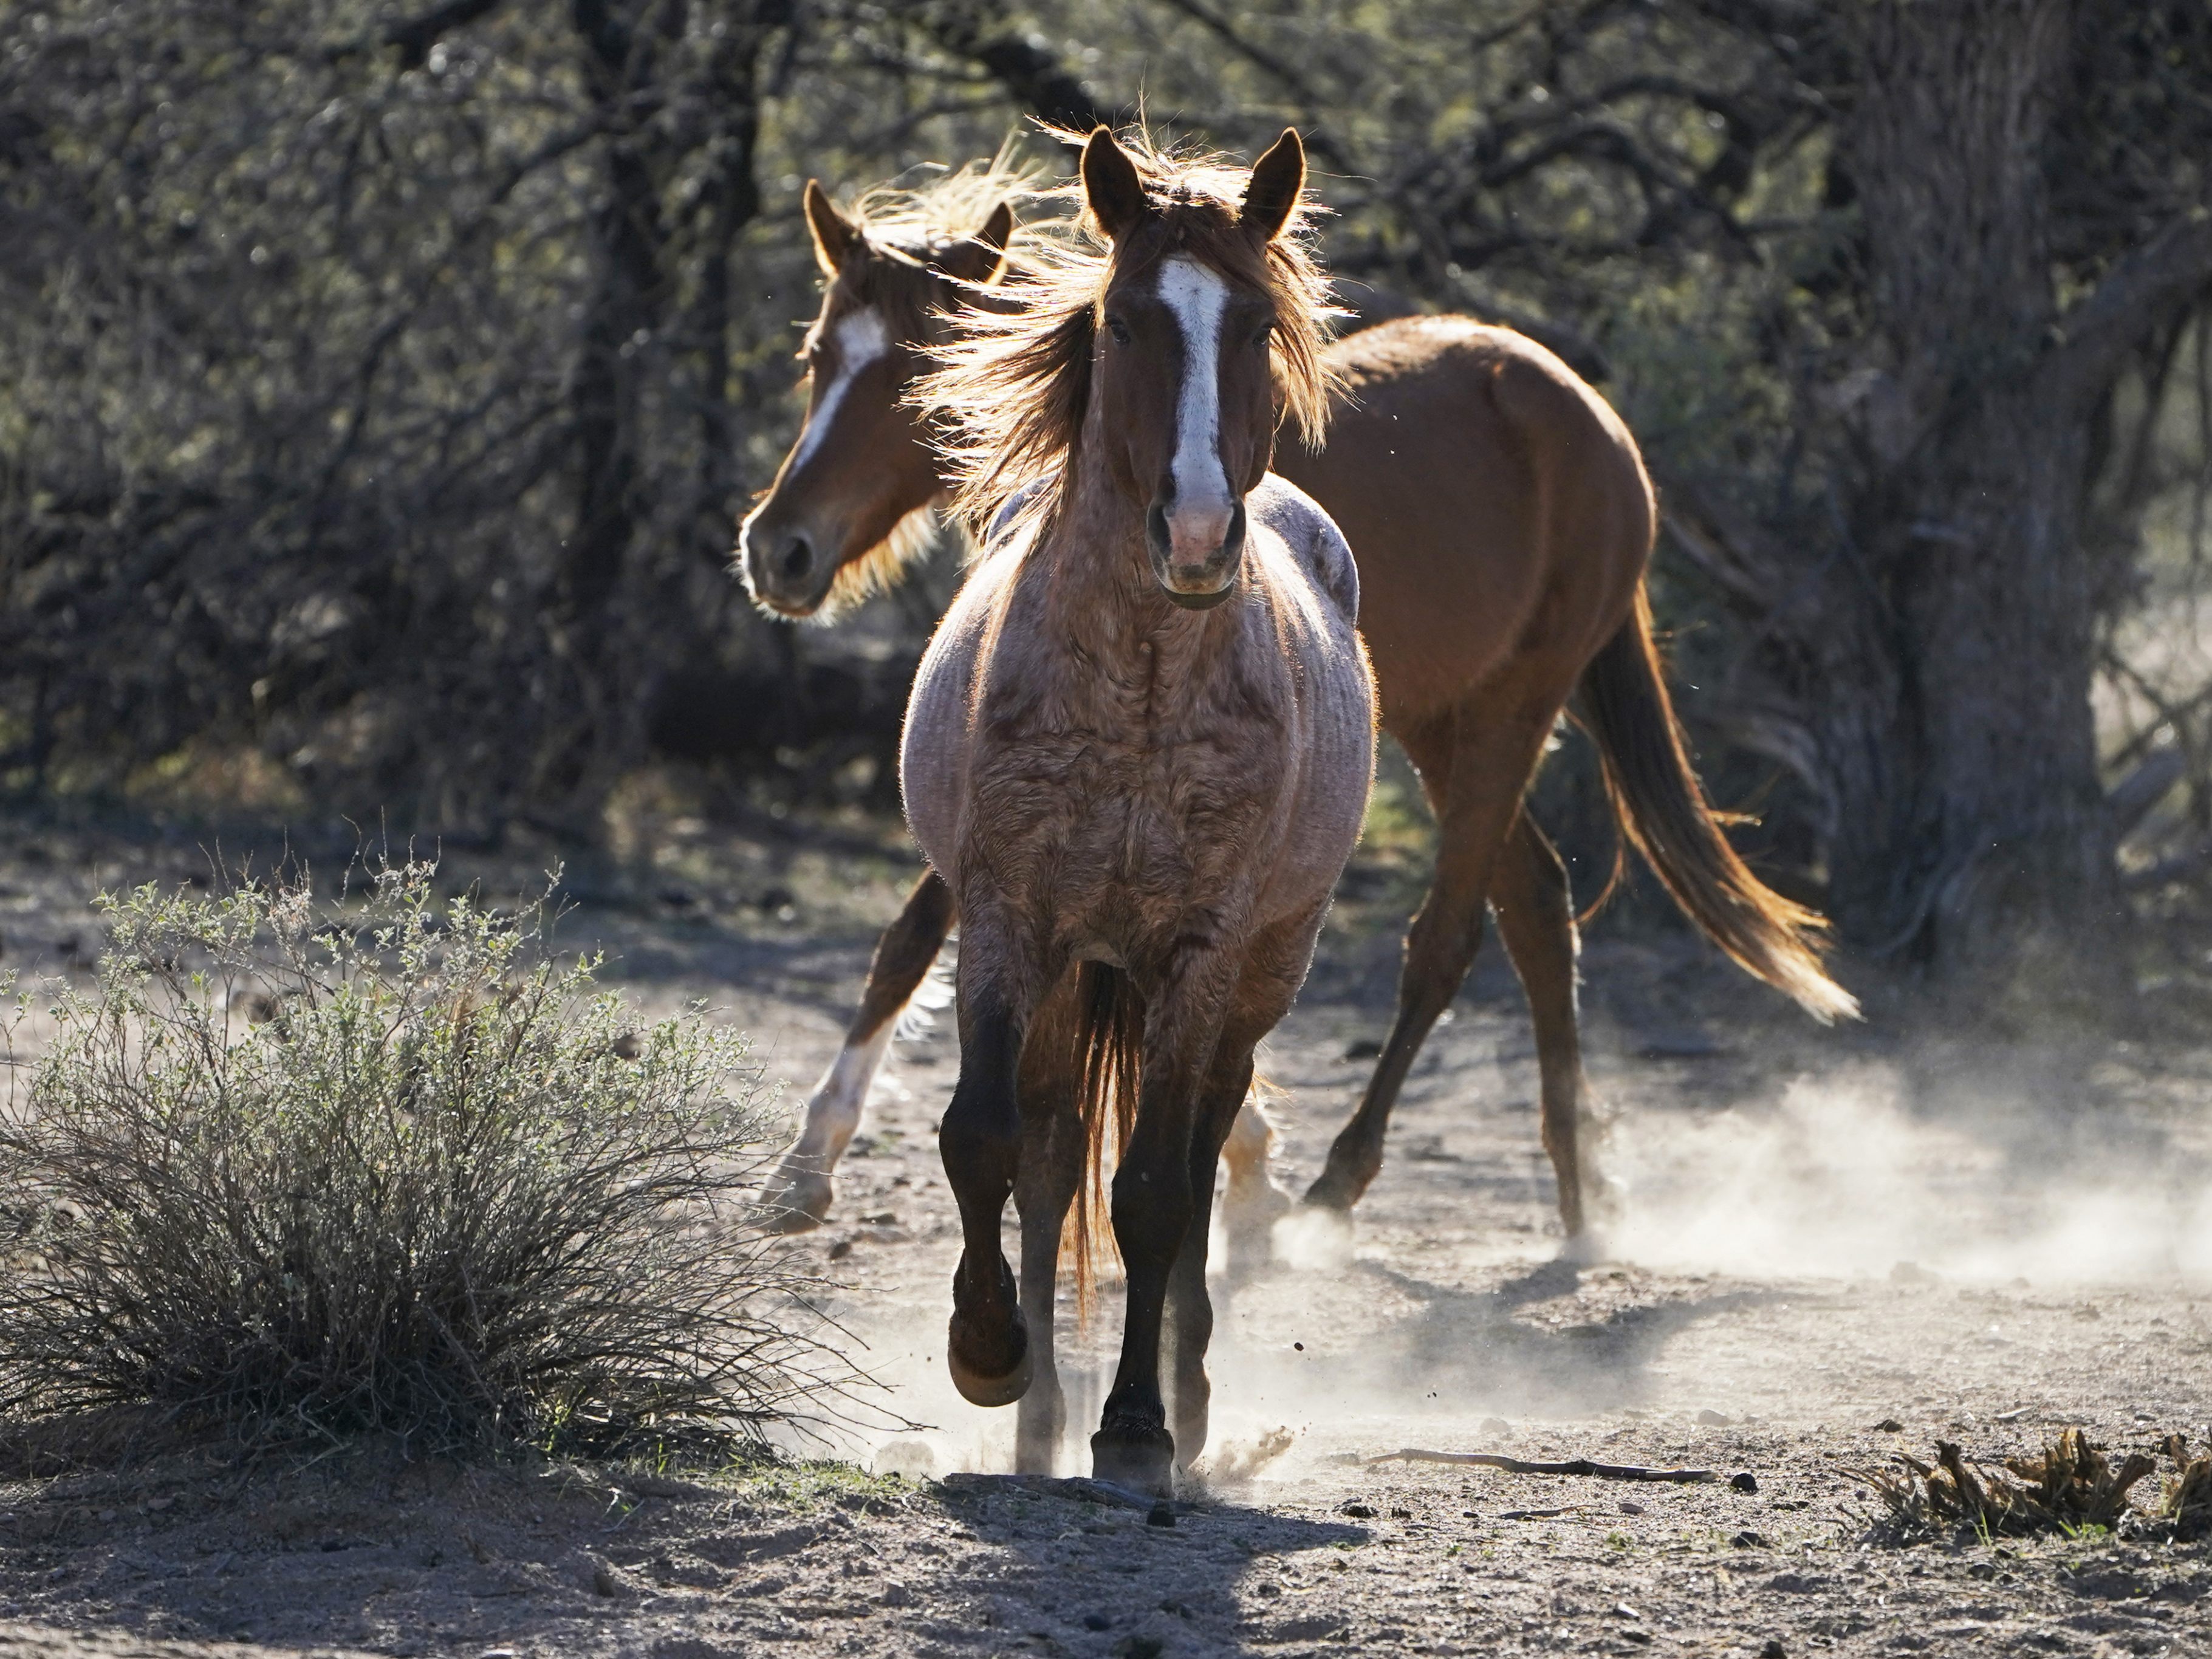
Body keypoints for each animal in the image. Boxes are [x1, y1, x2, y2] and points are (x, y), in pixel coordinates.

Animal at [739, 140, 1849, 1247]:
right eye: (821, 356)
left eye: (917, 367)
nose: (780, 548)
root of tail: (1599, 422)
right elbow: (911, 942)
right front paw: (804, 1163)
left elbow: (926, 933)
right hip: (1445, 724)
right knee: (1536, 903)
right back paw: (1580, 1184)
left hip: (1510, 713)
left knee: (1449, 937)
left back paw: (1343, 1183)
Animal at [893, 123, 1362, 1486]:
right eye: (1124, 321)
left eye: (1255, 324)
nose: (1199, 532)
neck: (1139, 694)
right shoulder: (1006, 919)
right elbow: (983, 1140)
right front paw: (987, 1354)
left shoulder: (1199, 952)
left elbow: (1154, 1195)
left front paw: (1141, 1427)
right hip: (1071, 973)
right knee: (1051, 1157)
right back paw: (1039, 1417)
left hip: (1250, 981)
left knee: (1197, 1158)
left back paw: (1184, 1407)